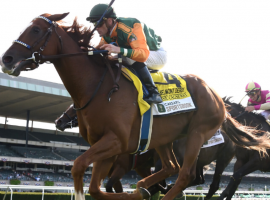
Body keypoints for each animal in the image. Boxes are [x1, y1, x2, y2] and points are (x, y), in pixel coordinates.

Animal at [2, 13, 270, 199]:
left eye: (36, 29)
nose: (7, 59)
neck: (98, 87)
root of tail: (216, 96)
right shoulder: (105, 146)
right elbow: (97, 187)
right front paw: (137, 191)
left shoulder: (116, 142)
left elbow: (79, 167)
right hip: (164, 138)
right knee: (171, 167)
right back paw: (144, 187)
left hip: (198, 135)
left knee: (187, 175)